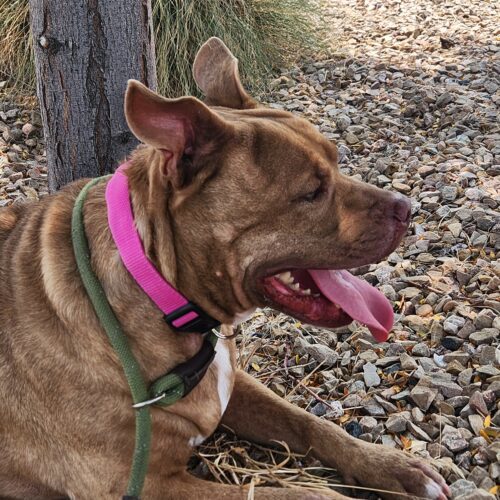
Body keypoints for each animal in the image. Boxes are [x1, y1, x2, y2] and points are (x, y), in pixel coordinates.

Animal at [0, 37, 452, 498]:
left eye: (337, 163)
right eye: (311, 192)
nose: (406, 207)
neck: (156, 288)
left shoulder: (233, 385)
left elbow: (310, 423)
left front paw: (393, 467)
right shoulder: (146, 486)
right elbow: (302, 492)